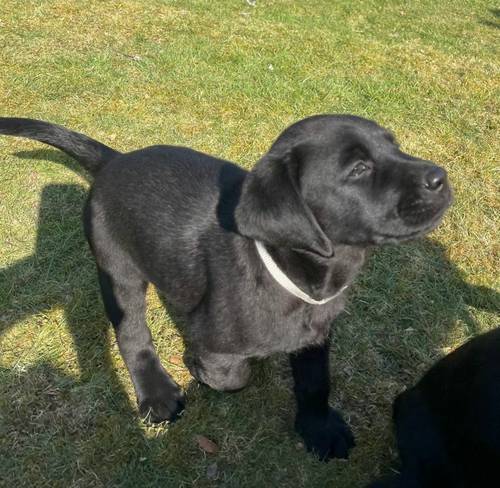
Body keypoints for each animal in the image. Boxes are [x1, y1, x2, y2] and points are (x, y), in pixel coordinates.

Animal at [0, 115, 452, 462]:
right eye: (359, 169)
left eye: (394, 146)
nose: (440, 177)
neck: (282, 267)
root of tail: (116, 160)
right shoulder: (217, 340)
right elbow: (232, 374)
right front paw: (201, 369)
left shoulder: (317, 332)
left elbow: (315, 381)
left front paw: (317, 428)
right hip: (117, 267)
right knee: (131, 333)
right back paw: (155, 392)